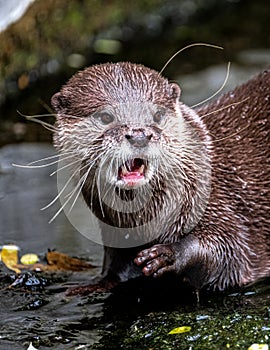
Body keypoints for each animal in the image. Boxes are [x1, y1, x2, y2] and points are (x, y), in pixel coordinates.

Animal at [51, 62, 270, 292]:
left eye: (156, 115)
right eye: (105, 117)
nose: (139, 135)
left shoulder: (220, 205)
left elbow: (229, 252)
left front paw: (168, 254)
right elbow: (115, 266)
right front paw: (94, 284)